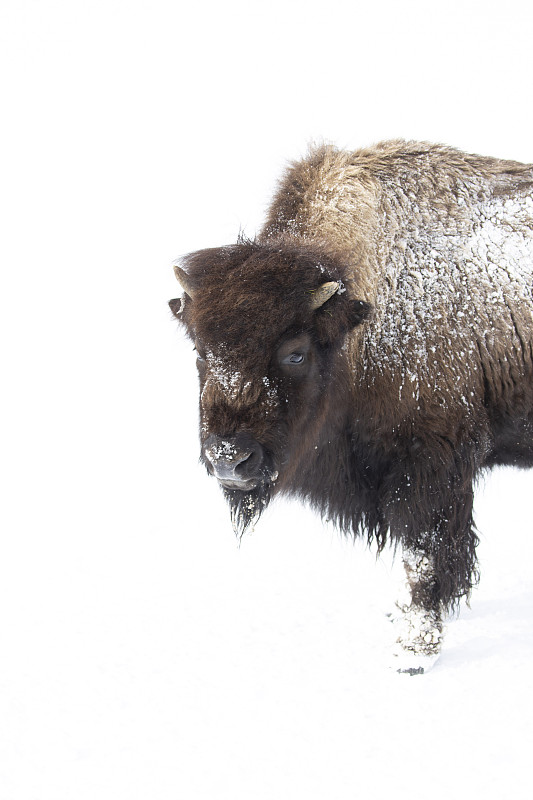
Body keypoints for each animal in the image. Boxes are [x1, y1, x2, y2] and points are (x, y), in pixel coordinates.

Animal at [169, 141, 532, 672]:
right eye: (200, 351)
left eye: (296, 352)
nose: (230, 461)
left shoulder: (431, 466)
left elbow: (425, 556)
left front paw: (414, 650)